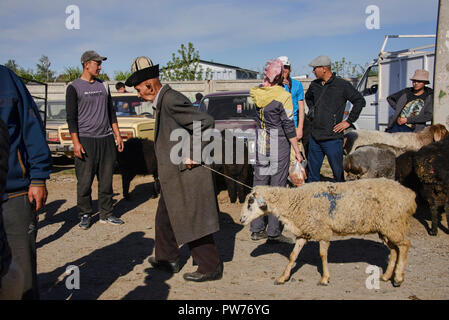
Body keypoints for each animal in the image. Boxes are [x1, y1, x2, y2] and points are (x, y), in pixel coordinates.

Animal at [240, 178, 414, 288]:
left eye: (250, 202)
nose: (241, 219)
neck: (294, 202)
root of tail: (409, 195)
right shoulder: (304, 232)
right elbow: (293, 256)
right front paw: (282, 278)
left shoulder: (322, 231)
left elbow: (323, 255)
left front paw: (324, 279)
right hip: (385, 227)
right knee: (394, 250)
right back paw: (386, 277)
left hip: (393, 224)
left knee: (405, 245)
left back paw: (398, 278)